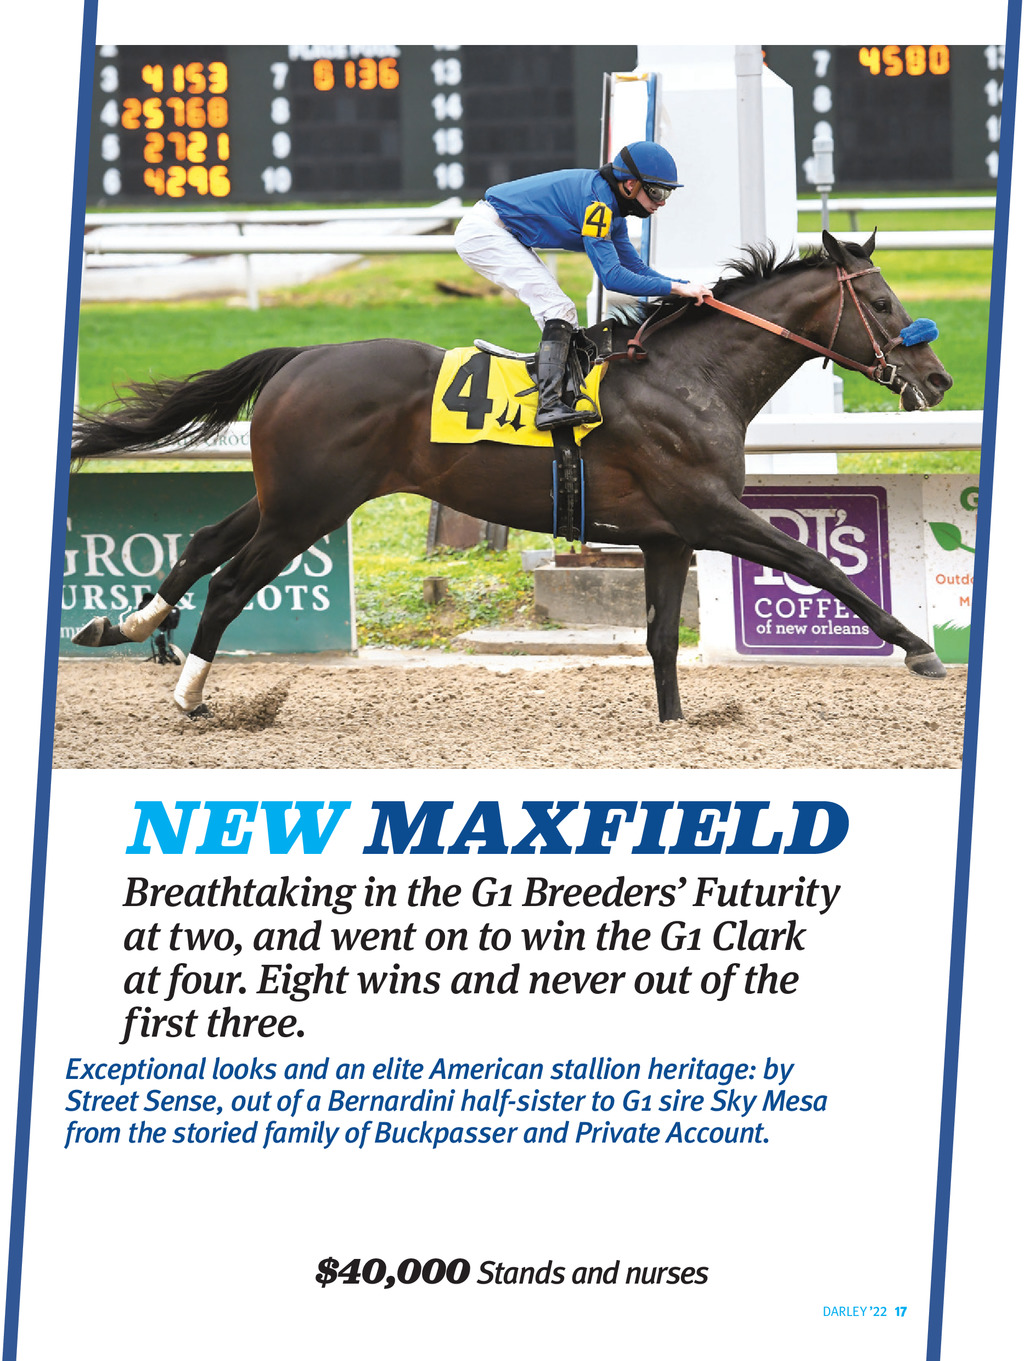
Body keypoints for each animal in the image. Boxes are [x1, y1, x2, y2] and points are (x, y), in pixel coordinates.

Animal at [70, 230, 953, 723]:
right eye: (880, 300)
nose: (939, 380)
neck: (689, 378)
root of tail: (303, 355)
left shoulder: (667, 537)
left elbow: (661, 638)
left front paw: (675, 723)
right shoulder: (708, 513)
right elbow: (816, 563)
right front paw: (918, 648)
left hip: (288, 496)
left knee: (205, 538)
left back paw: (127, 623)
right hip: (308, 510)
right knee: (229, 584)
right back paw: (191, 696)